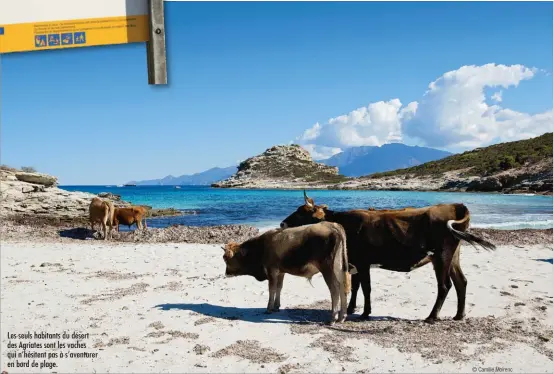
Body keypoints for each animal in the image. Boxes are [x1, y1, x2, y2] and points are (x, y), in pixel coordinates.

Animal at [221, 222, 354, 324]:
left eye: (226, 258)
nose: (226, 273)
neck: (262, 247)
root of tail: (333, 225)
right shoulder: (281, 272)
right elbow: (279, 287)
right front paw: (276, 306)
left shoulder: (271, 270)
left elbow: (272, 289)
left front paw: (269, 308)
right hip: (339, 268)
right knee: (343, 288)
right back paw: (342, 317)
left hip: (328, 269)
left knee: (334, 290)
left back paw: (333, 318)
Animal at [280, 191, 496, 322]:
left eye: (301, 212)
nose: (282, 223)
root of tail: (454, 205)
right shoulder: (355, 263)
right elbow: (356, 287)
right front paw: (351, 309)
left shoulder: (363, 262)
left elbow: (366, 288)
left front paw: (365, 312)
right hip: (452, 257)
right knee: (461, 282)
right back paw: (459, 315)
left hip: (442, 256)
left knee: (444, 286)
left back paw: (432, 316)